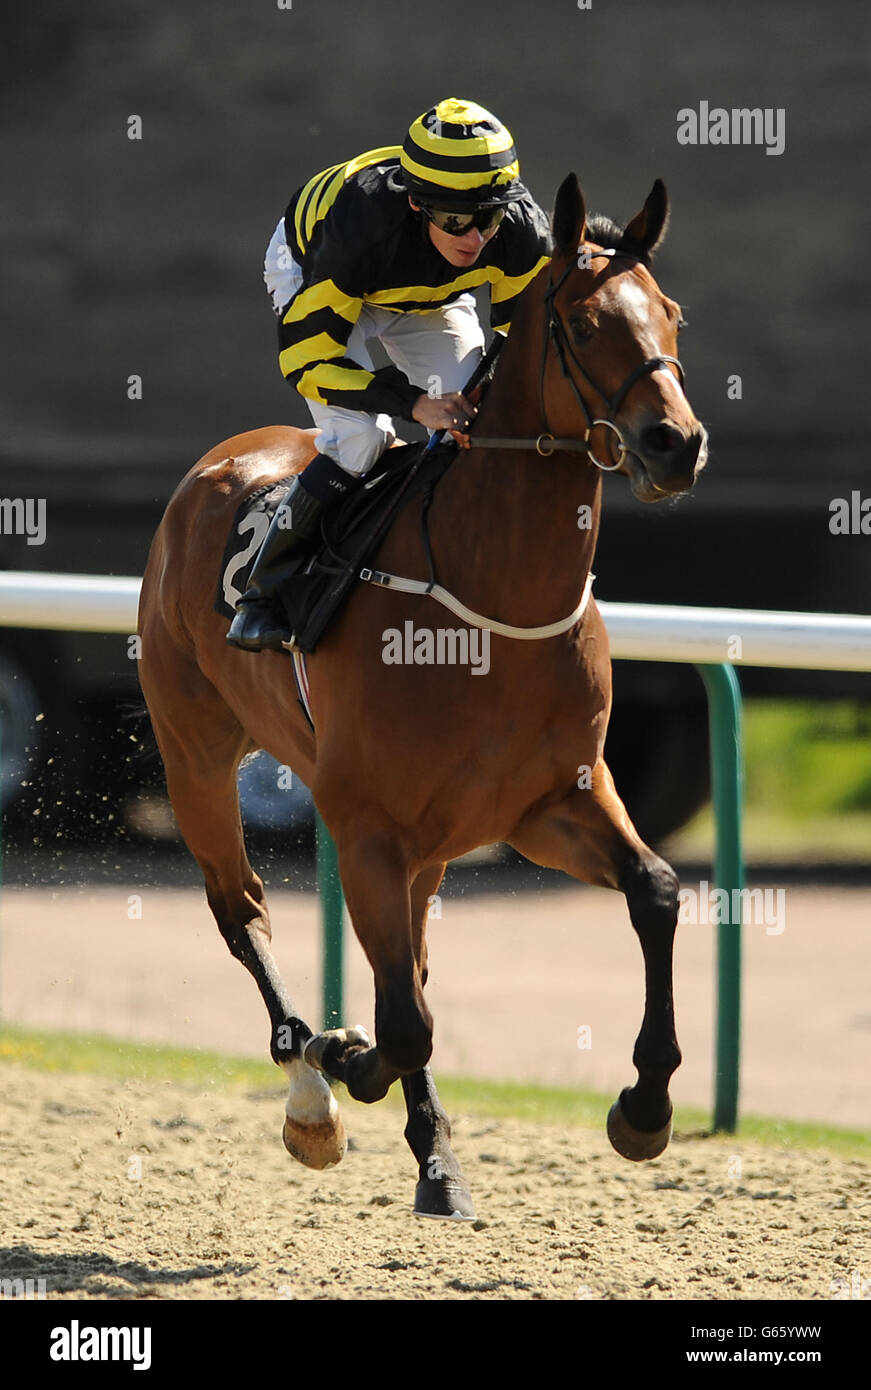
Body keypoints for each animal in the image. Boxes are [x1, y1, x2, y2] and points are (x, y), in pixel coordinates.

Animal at [136, 170, 708, 1217]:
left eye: (671, 313)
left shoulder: (550, 801)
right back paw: (311, 1090)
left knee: (406, 965)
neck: (493, 604)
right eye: (581, 321)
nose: (673, 444)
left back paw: (428, 1155)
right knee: (243, 913)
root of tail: (221, 460)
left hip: (433, 847)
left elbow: (653, 892)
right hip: (195, 755)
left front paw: (643, 1108)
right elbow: (400, 1022)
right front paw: (341, 1058)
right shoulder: (366, 825)